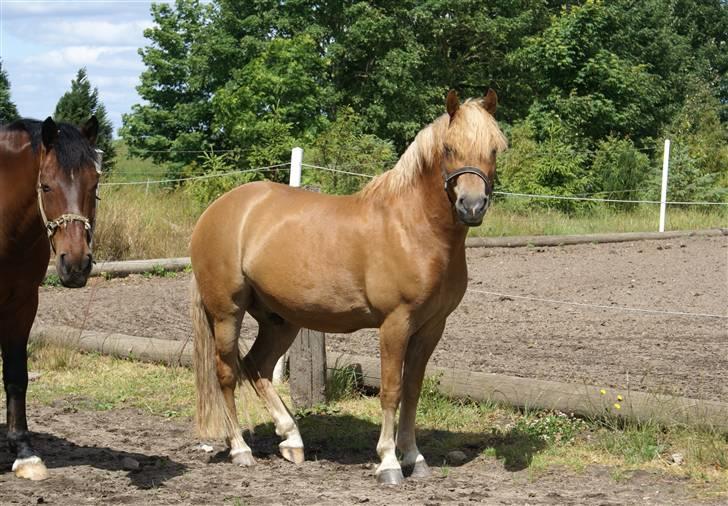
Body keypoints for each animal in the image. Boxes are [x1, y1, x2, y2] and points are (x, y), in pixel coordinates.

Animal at [0, 116, 99, 480]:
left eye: (95, 184)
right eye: (45, 186)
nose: (76, 265)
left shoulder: (23, 303)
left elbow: (16, 376)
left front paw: (24, 453)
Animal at [188, 91, 506, 486]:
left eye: (494, 148)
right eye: (449, 147)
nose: (472, 206)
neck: (413, 229)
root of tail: (217, 210)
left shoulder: (432, 327)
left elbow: (413, 390)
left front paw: (414, 457)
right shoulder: (395, 323)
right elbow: (391, 390)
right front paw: (389, 463)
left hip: (280, 320)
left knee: (257, 367)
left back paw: (291, 440)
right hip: (226, 312)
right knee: (227, 373)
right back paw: (240, 450)